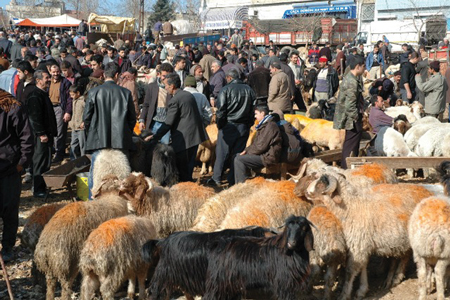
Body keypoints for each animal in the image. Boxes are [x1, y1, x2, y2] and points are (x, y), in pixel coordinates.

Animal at [304, 172, 434, 298]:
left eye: (321, 183)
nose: (307, 192)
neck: (351, 207)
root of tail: (429, 192)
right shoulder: (362, 245)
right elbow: (363, 265)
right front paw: (362, 290)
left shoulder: (357, 245)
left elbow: (350, 271)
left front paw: (345, 294)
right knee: (405, 255)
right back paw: (397, 278)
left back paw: (426, 285)